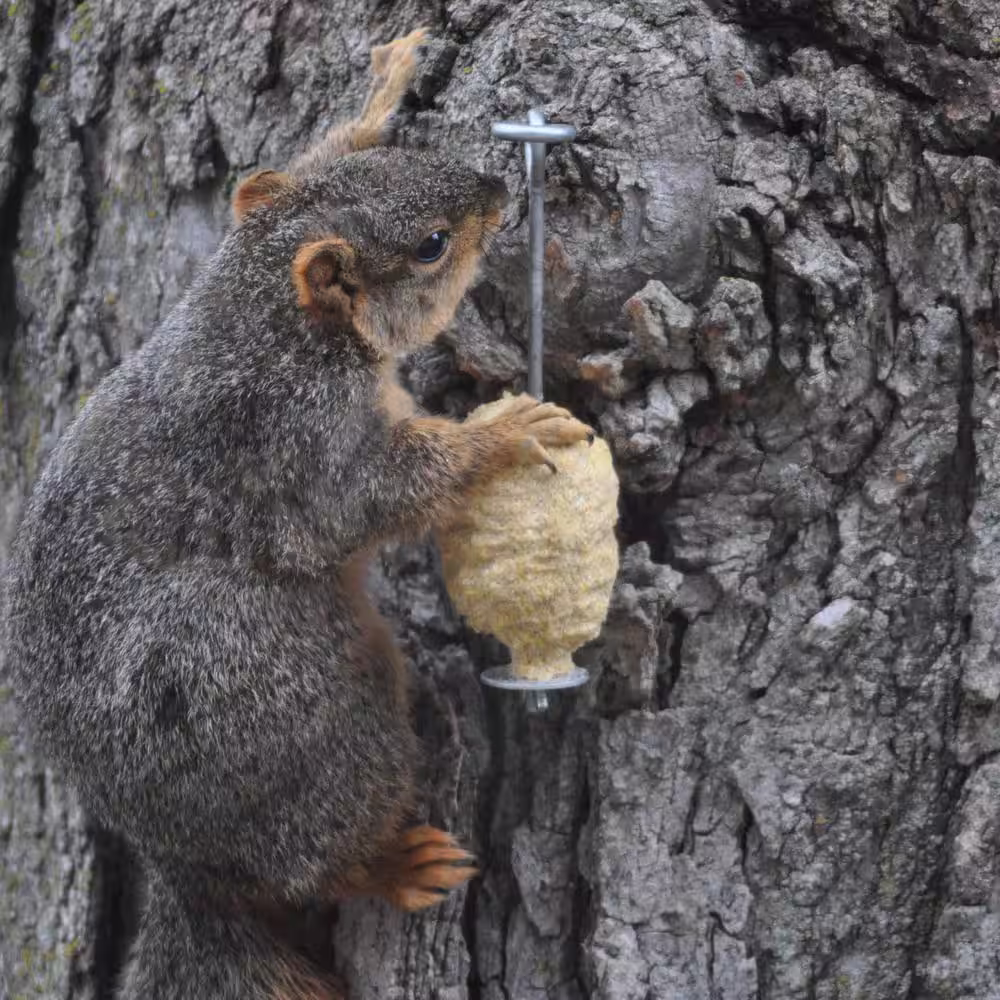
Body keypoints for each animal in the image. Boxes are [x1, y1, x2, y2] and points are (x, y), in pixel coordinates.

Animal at [2, 27, 592, 1000]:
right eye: (431, 246)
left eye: (398, 161)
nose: (499, 191)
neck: (261, 311)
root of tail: (186, 867)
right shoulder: (296, 442)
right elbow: (378, 494)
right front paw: (506, 431)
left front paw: (380, 88)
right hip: (300, 703)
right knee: (320, 858)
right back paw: (394, 865)